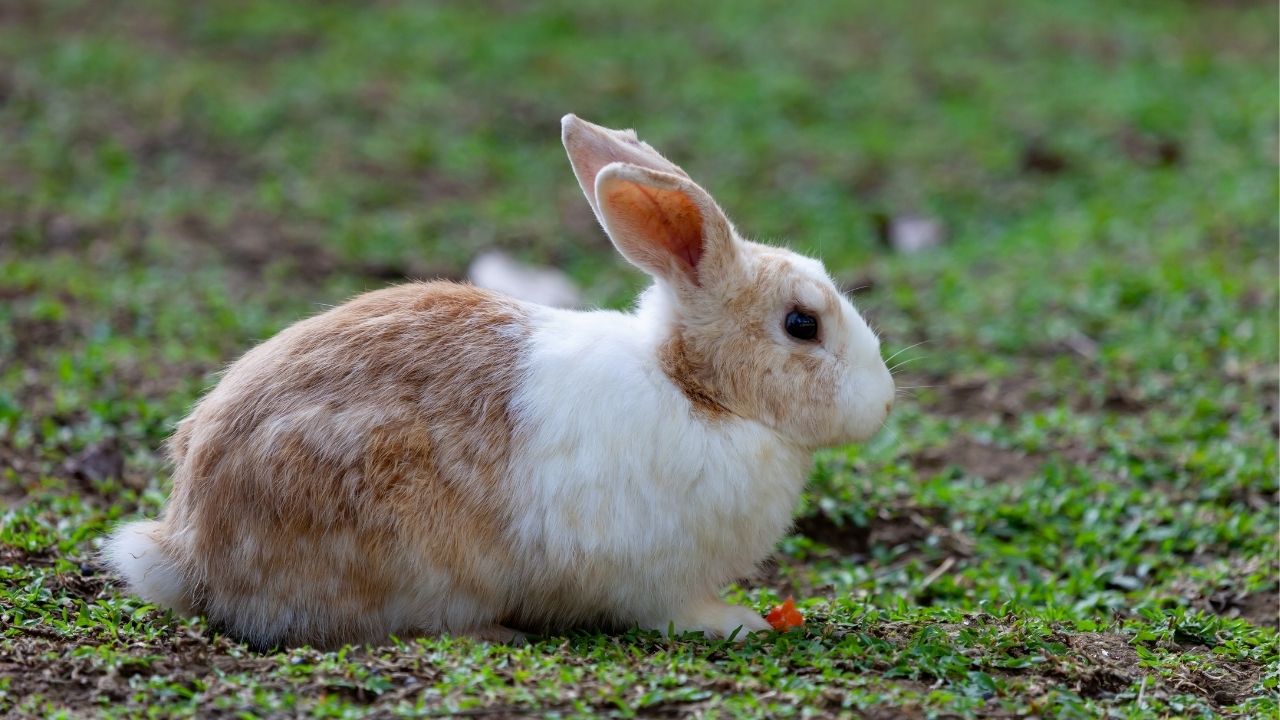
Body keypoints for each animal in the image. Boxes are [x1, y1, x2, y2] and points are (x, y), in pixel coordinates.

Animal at [104, 114, 896, 648]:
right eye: (802, 324)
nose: (884, 402)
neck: (694, 389)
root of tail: (187, 548)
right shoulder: (657, 581)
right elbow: (673, 611)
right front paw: (740, 622)